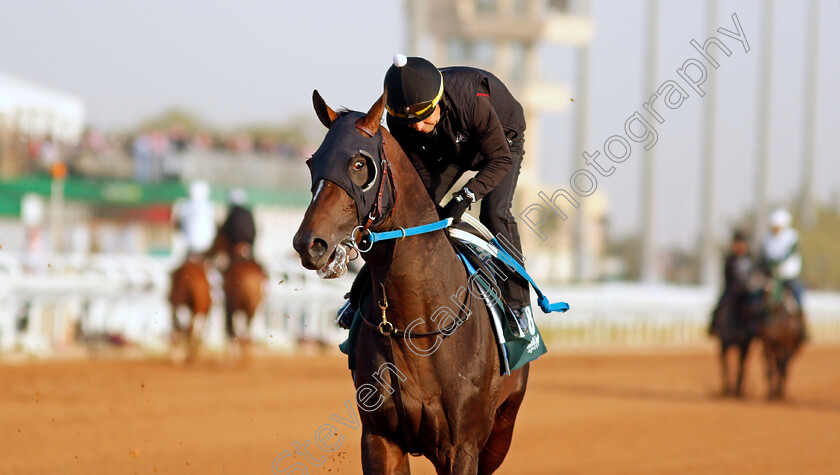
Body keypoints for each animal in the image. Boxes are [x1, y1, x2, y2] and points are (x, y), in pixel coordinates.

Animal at [292, 91, 528, 474]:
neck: (416, 324)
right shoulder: (380, 439)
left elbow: (500, 157)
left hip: (501, 430)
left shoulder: (462, 447)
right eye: (313, 163)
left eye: (359, 164)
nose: (309, 243)